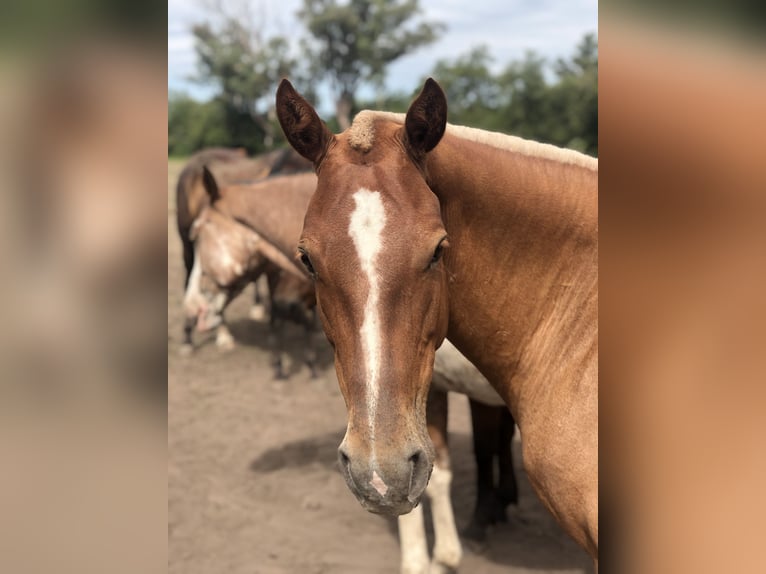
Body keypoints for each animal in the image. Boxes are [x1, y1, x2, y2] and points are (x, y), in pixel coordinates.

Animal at [184, 167, 520, 573]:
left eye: (197, 234)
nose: (191, 308)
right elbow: (441, 473)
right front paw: (449, 551)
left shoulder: (433, 393)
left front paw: (429, 557)